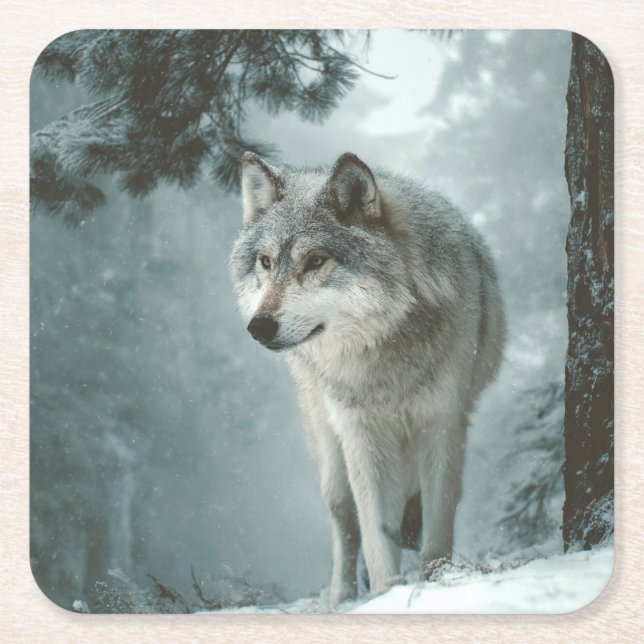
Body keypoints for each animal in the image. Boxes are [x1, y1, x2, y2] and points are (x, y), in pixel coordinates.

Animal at [230, 151, 505, 607]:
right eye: (265, 263)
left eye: (315, 261)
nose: (258, 327)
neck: (384, 353)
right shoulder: (361, 432)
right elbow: (375, 530)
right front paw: (386, 594)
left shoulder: (443, 424)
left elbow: (437, 525)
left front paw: (436, 579)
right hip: (328, 444)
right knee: (345, 520)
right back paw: (341, 596)